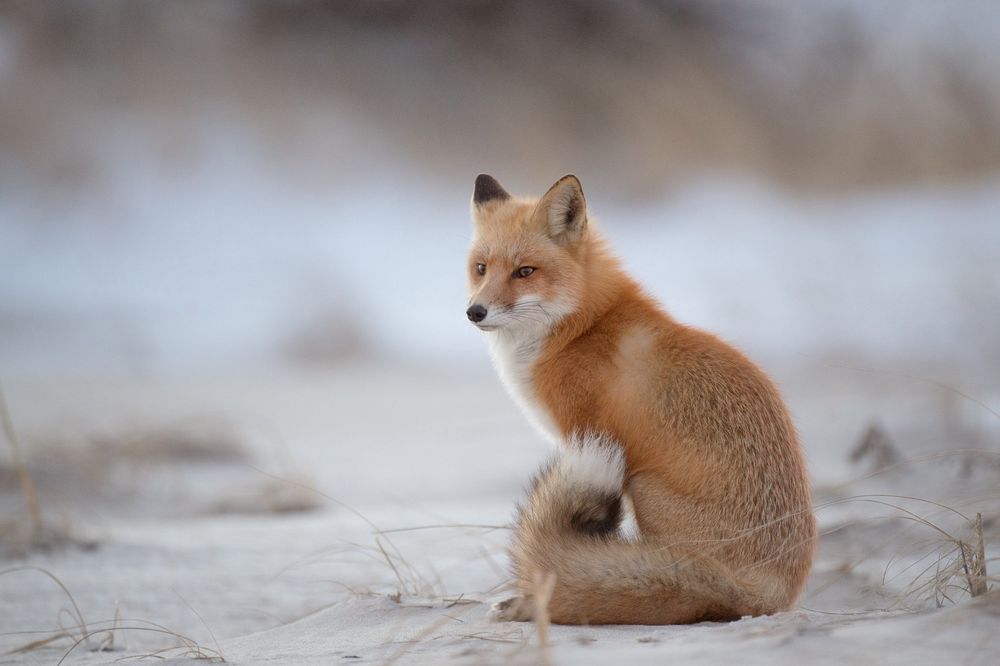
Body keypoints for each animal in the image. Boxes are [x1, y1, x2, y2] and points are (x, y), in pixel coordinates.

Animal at [466, 173, 816, 625]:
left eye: (524, 271)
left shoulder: (586, 437)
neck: (578, 328)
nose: (475, 311)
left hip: (643, 487)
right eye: (481, 268)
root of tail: (774, 595)